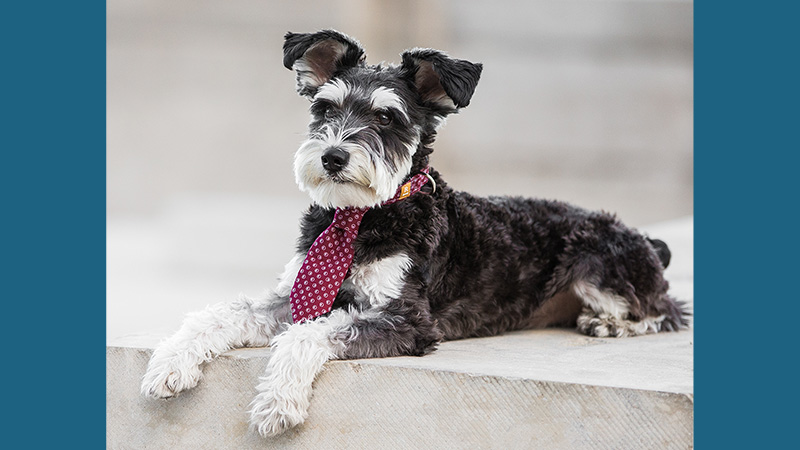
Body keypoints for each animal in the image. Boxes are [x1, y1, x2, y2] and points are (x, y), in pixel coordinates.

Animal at [139, 29, 688, 438]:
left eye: (386, 117)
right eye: (324, 109)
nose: (332, 157)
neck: (364, 217)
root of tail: (642, 237)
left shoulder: (407, 319)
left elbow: (309, 333)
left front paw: (278, 400)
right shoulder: (298, 294)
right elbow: (223, 313)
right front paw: (169, 363)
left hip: (597, 262)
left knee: (663, 309)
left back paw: (610, 324)